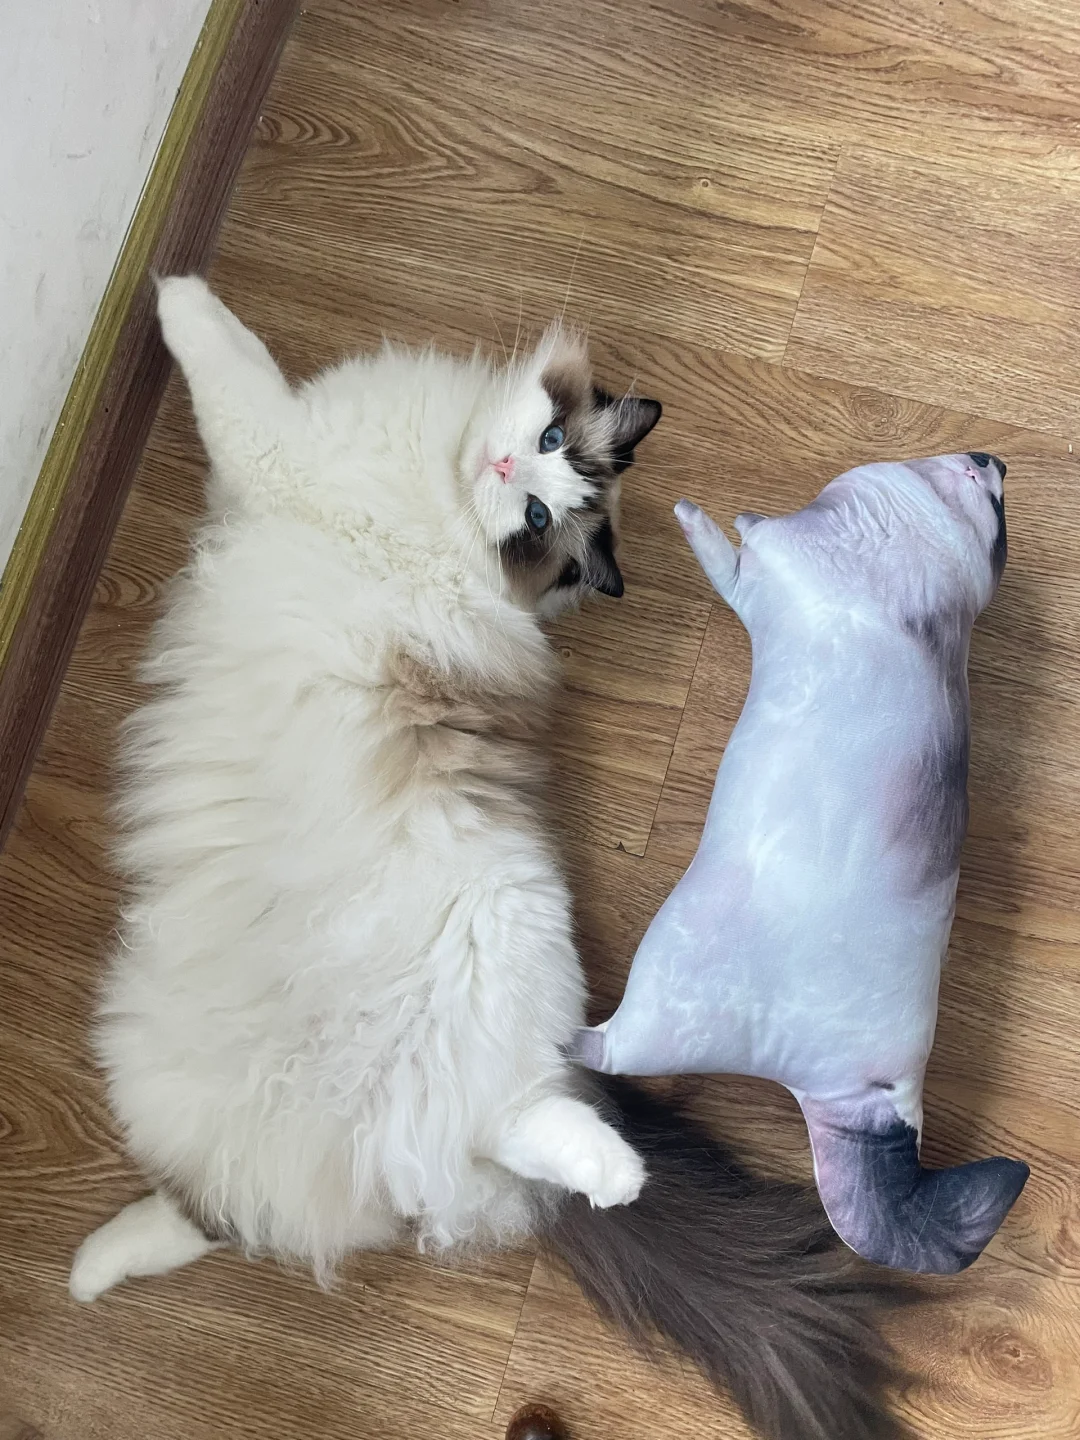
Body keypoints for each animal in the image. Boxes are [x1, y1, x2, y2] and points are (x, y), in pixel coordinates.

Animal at [70, 277, 907, 1440]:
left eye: (542, 519)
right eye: (547, 444)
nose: (509, 472)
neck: (438, 492)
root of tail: (372, 1136)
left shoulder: (277, 443)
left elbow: (220, 353)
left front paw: (172, 288)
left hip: (482, 969)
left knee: (496, 1128)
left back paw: (614, 1173)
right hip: (164, 1061)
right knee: (229, 1210)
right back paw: (90, 1270)